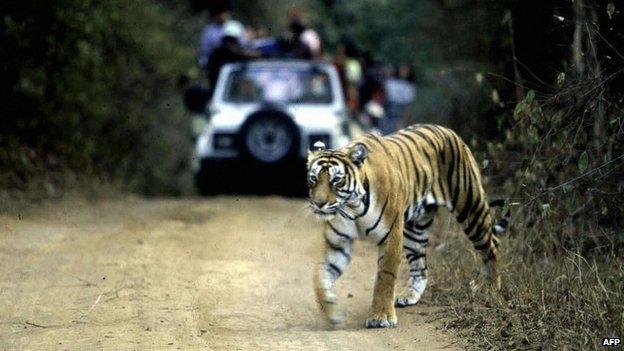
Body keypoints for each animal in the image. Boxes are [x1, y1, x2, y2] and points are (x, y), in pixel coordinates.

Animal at [304, 124, 510, 330]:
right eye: (313, 179)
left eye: (336, 180)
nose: (319, 203)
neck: (352, 207)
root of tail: (448, 130)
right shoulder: (338, 244)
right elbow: (320, 276)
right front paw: (332, 313)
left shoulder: (391, 236)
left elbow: (385, 277)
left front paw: (381, 317)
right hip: (415, 230)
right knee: (421, 266)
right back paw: (409, 296)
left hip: (470, 208)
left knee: (492, 244)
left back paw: (490, 287)